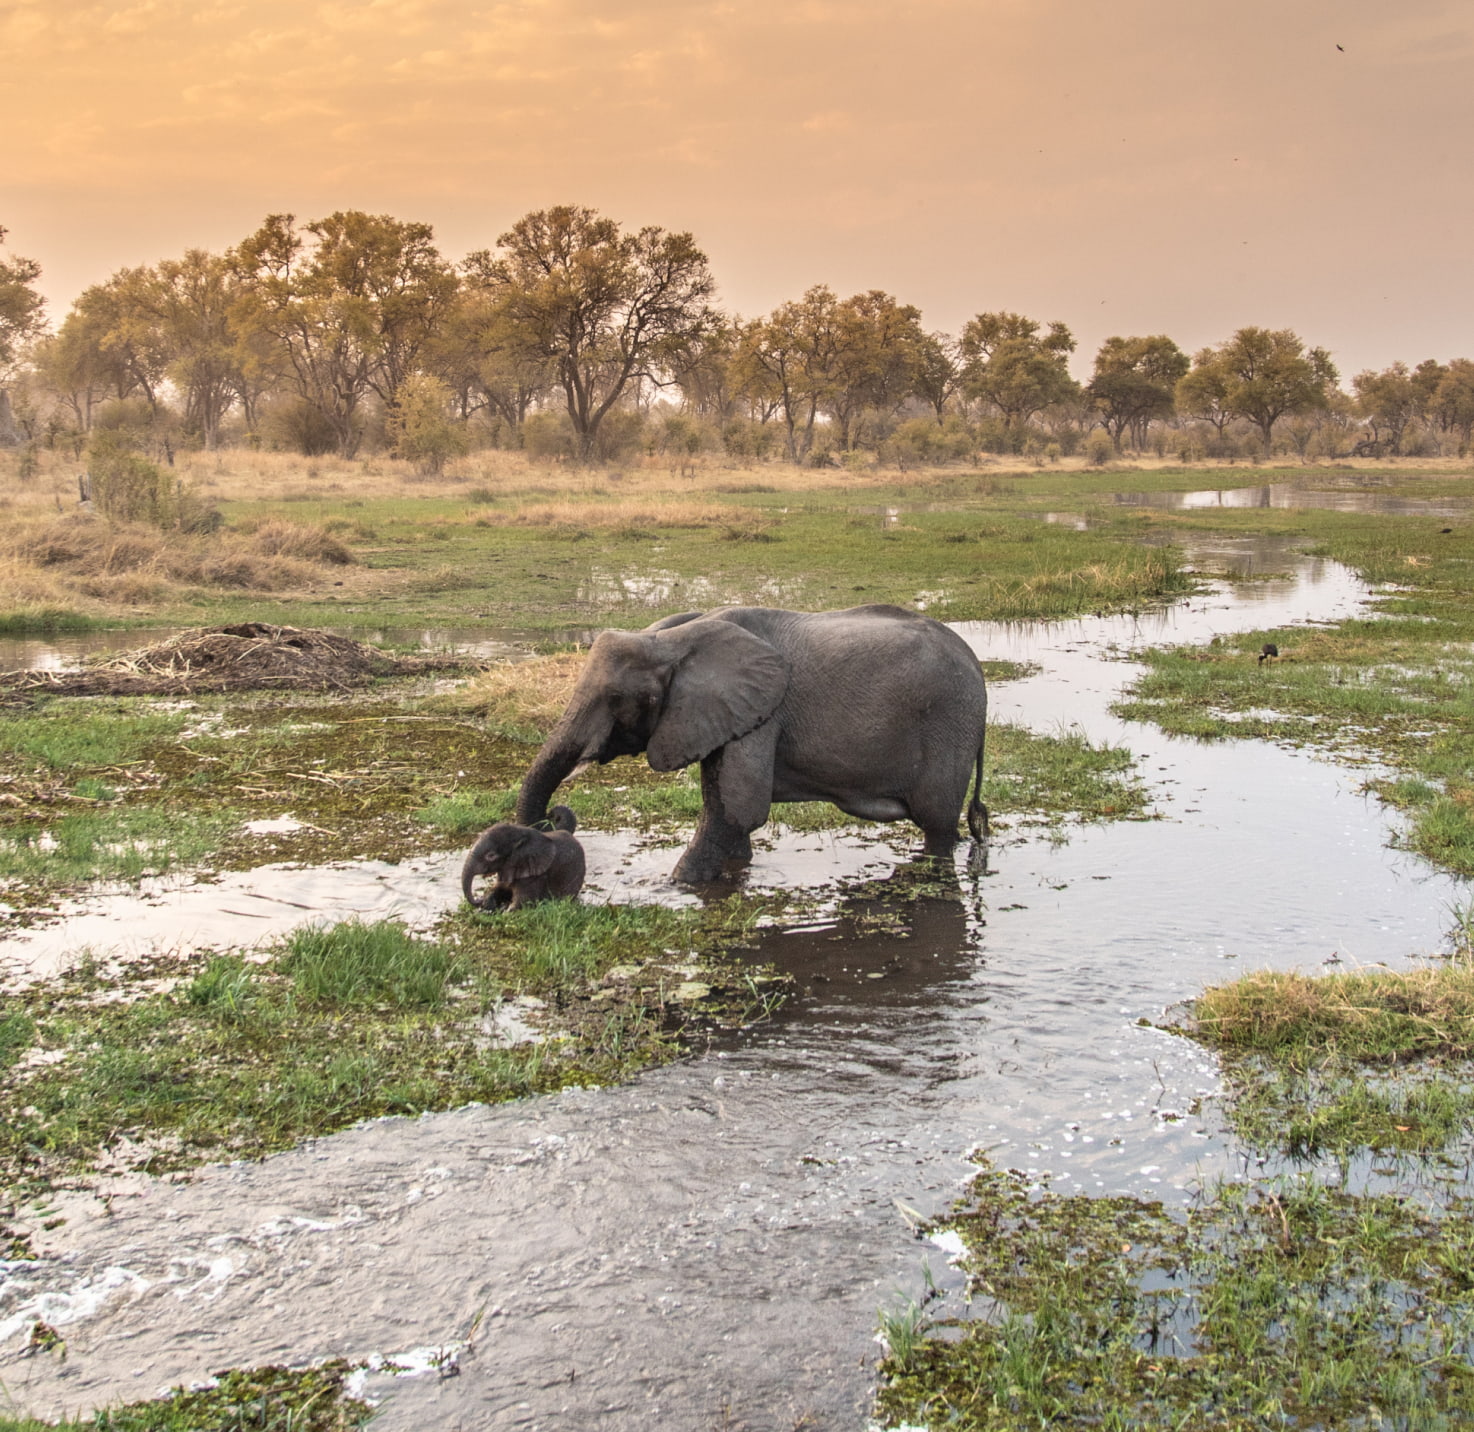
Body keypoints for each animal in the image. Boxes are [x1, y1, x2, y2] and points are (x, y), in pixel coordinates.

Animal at [518, 604, 990, 883]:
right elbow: (725, 812)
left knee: (937, 827)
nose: (555, 816)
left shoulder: (762, 716)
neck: (674, 639)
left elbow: (735, 814)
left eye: (620, 699)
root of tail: (976, 665)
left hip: (949, 725)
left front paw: (675, 889)